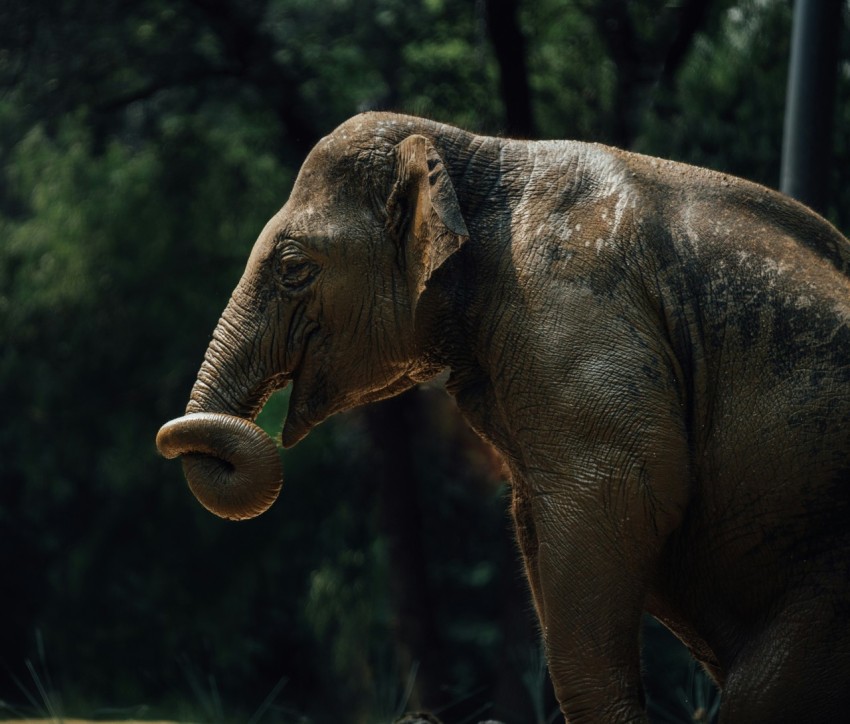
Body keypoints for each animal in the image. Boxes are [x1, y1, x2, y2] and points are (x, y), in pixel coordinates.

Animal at [156, 113, 848, 724]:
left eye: (293, 268)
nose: (170, 442)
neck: (478, 155)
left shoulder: (570, 308)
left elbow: (623, 491)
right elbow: (538, 521)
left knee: (763, 697)